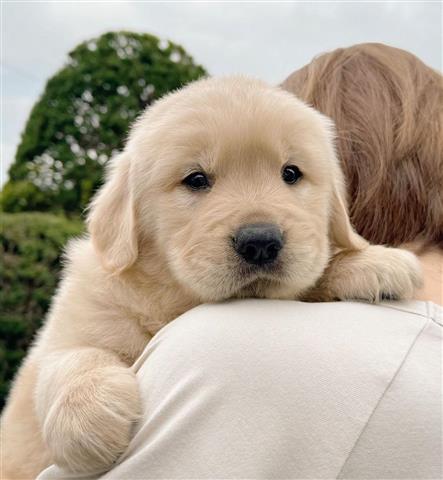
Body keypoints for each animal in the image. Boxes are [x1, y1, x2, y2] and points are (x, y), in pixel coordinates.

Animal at [0, 76, 424, 476]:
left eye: (291, 173)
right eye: (196, 179)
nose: (260, 242)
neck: (177, 298)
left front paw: (371, 263)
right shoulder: (76, 324)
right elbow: (73, 357)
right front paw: (87, 419)